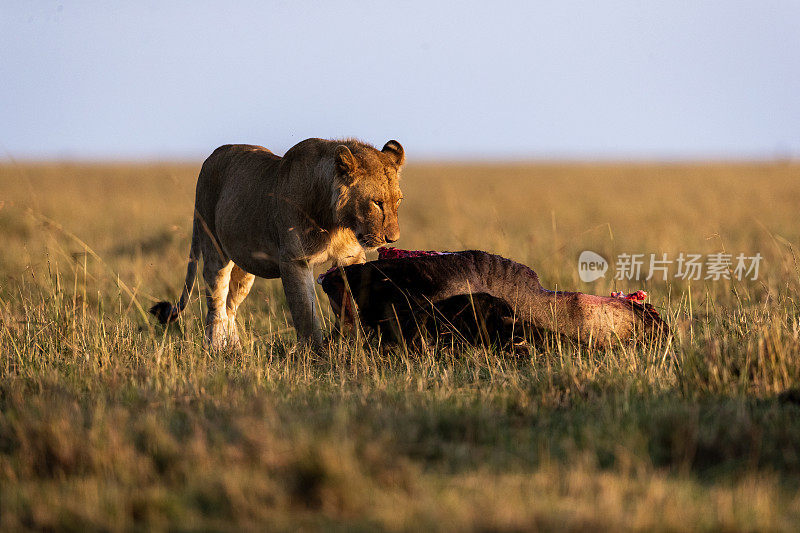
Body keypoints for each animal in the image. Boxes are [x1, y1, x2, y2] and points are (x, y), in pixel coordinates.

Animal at [149, 138, 404, 350]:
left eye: (398, 200)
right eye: (376, 202)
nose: (393, 239)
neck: (333, 223)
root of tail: (211, 156)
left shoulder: (350, 257)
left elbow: (350, 301)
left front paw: (356, 341)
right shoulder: (294, 260)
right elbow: (305, 313)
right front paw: (315, 354)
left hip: (244, 266)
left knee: (230, 306)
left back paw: (235, 350)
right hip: (214, 248)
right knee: (216, 303)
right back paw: (215, 347)